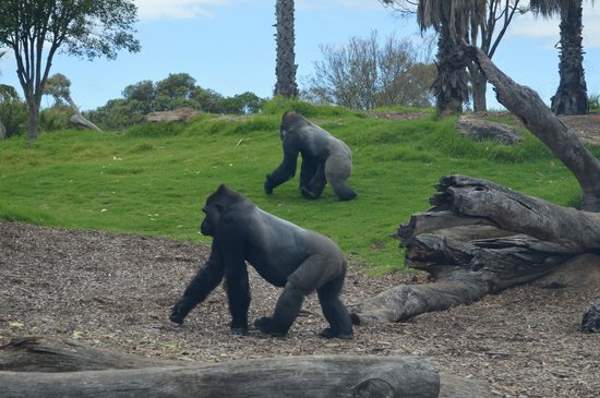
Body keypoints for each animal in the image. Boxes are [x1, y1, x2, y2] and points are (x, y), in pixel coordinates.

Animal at [169, 186, 354, 338]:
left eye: (205, 212)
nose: (203, 225)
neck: (233, 207)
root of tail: (341, 255)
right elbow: (213, 269)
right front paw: (181, 308)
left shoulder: (230, 225)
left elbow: (236, 275)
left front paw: (239, 325)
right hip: (335, 265)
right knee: (330, 298)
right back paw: (342, 331)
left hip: (324, 258)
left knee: (295, 288)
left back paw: (274, 328)